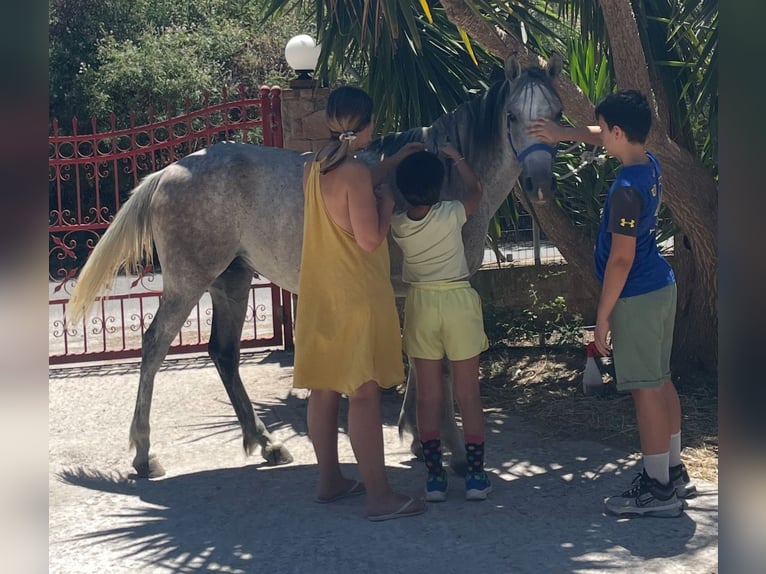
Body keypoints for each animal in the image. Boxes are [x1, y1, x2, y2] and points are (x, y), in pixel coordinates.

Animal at [66, 54, 563, 479]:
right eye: (512, 117)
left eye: (557, 114)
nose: (538, 183)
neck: (438, 175)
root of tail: (166, 173)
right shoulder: (441, 285)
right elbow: (437, 369)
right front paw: (453, 453)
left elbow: (417, 360)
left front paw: (413, 434)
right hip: (189, 283)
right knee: (154, 346)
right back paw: (145, 455)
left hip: (232, 281)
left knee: (223, 352)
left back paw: (266, 444)